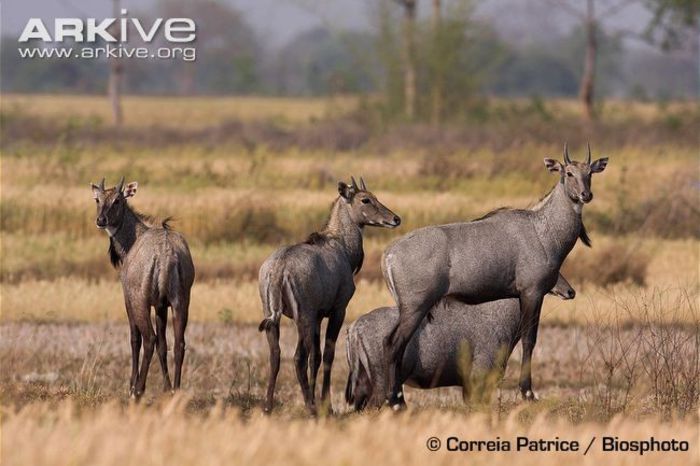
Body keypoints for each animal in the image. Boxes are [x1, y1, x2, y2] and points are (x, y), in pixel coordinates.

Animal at [90, 177, 196, 398]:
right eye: (97, 199)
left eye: (117, 200)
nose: (101, 220)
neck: (131, 241)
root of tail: (166, 256)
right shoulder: (161, 304)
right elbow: (164, 345)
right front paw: (166, 387)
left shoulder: (128, 299)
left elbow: (134, 339)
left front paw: (131, 385)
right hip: (182, 299)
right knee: (179, 343)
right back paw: (176, 389)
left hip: (141, 300)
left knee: (148, 339)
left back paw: (138, 390)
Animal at [258, 177, 400, 416]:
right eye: (365, 199)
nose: (395, 219)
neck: (342, 246)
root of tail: (278, 270)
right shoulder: (338, 309)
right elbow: (328, 355)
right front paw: (326, 404)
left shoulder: (318, 316)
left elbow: (315, 357)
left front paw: (320, 400)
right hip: (302, 316)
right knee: (298, 357)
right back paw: (310, 407)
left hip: (272, 315)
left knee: (275, 355)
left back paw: (268, 406)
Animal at [382, 145, 608, 408]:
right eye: (569, 173)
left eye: (590, 173)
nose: (585, 195)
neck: (543, 230)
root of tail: (388, 254)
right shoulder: (532, 291)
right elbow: (529, 339)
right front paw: (528, 393)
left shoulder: (525, 294)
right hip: (415, 306)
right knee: (393, 345)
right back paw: (396, 401)